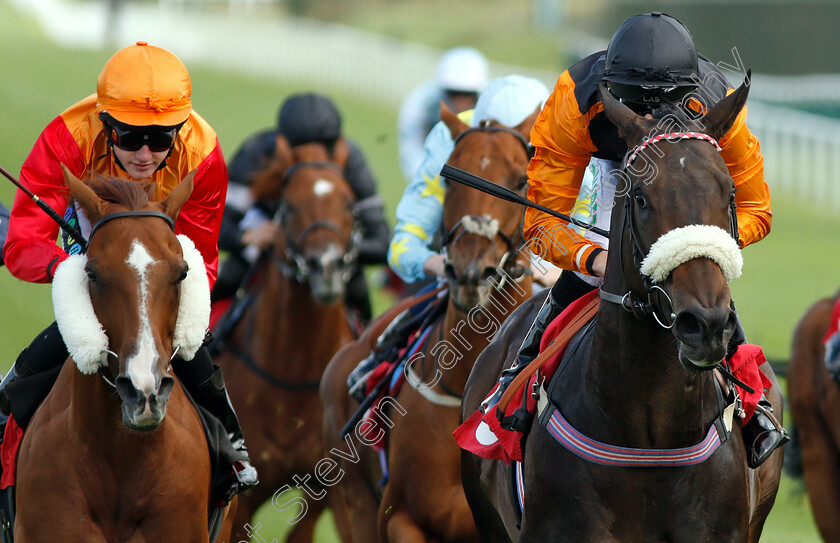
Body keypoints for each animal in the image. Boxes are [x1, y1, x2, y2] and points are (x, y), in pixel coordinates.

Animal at [322, 103, 540, 543]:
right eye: (450, 176)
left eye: (520, 179)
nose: (470, 272)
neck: (461, 391)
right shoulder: (400, 517)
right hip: (354, 502)